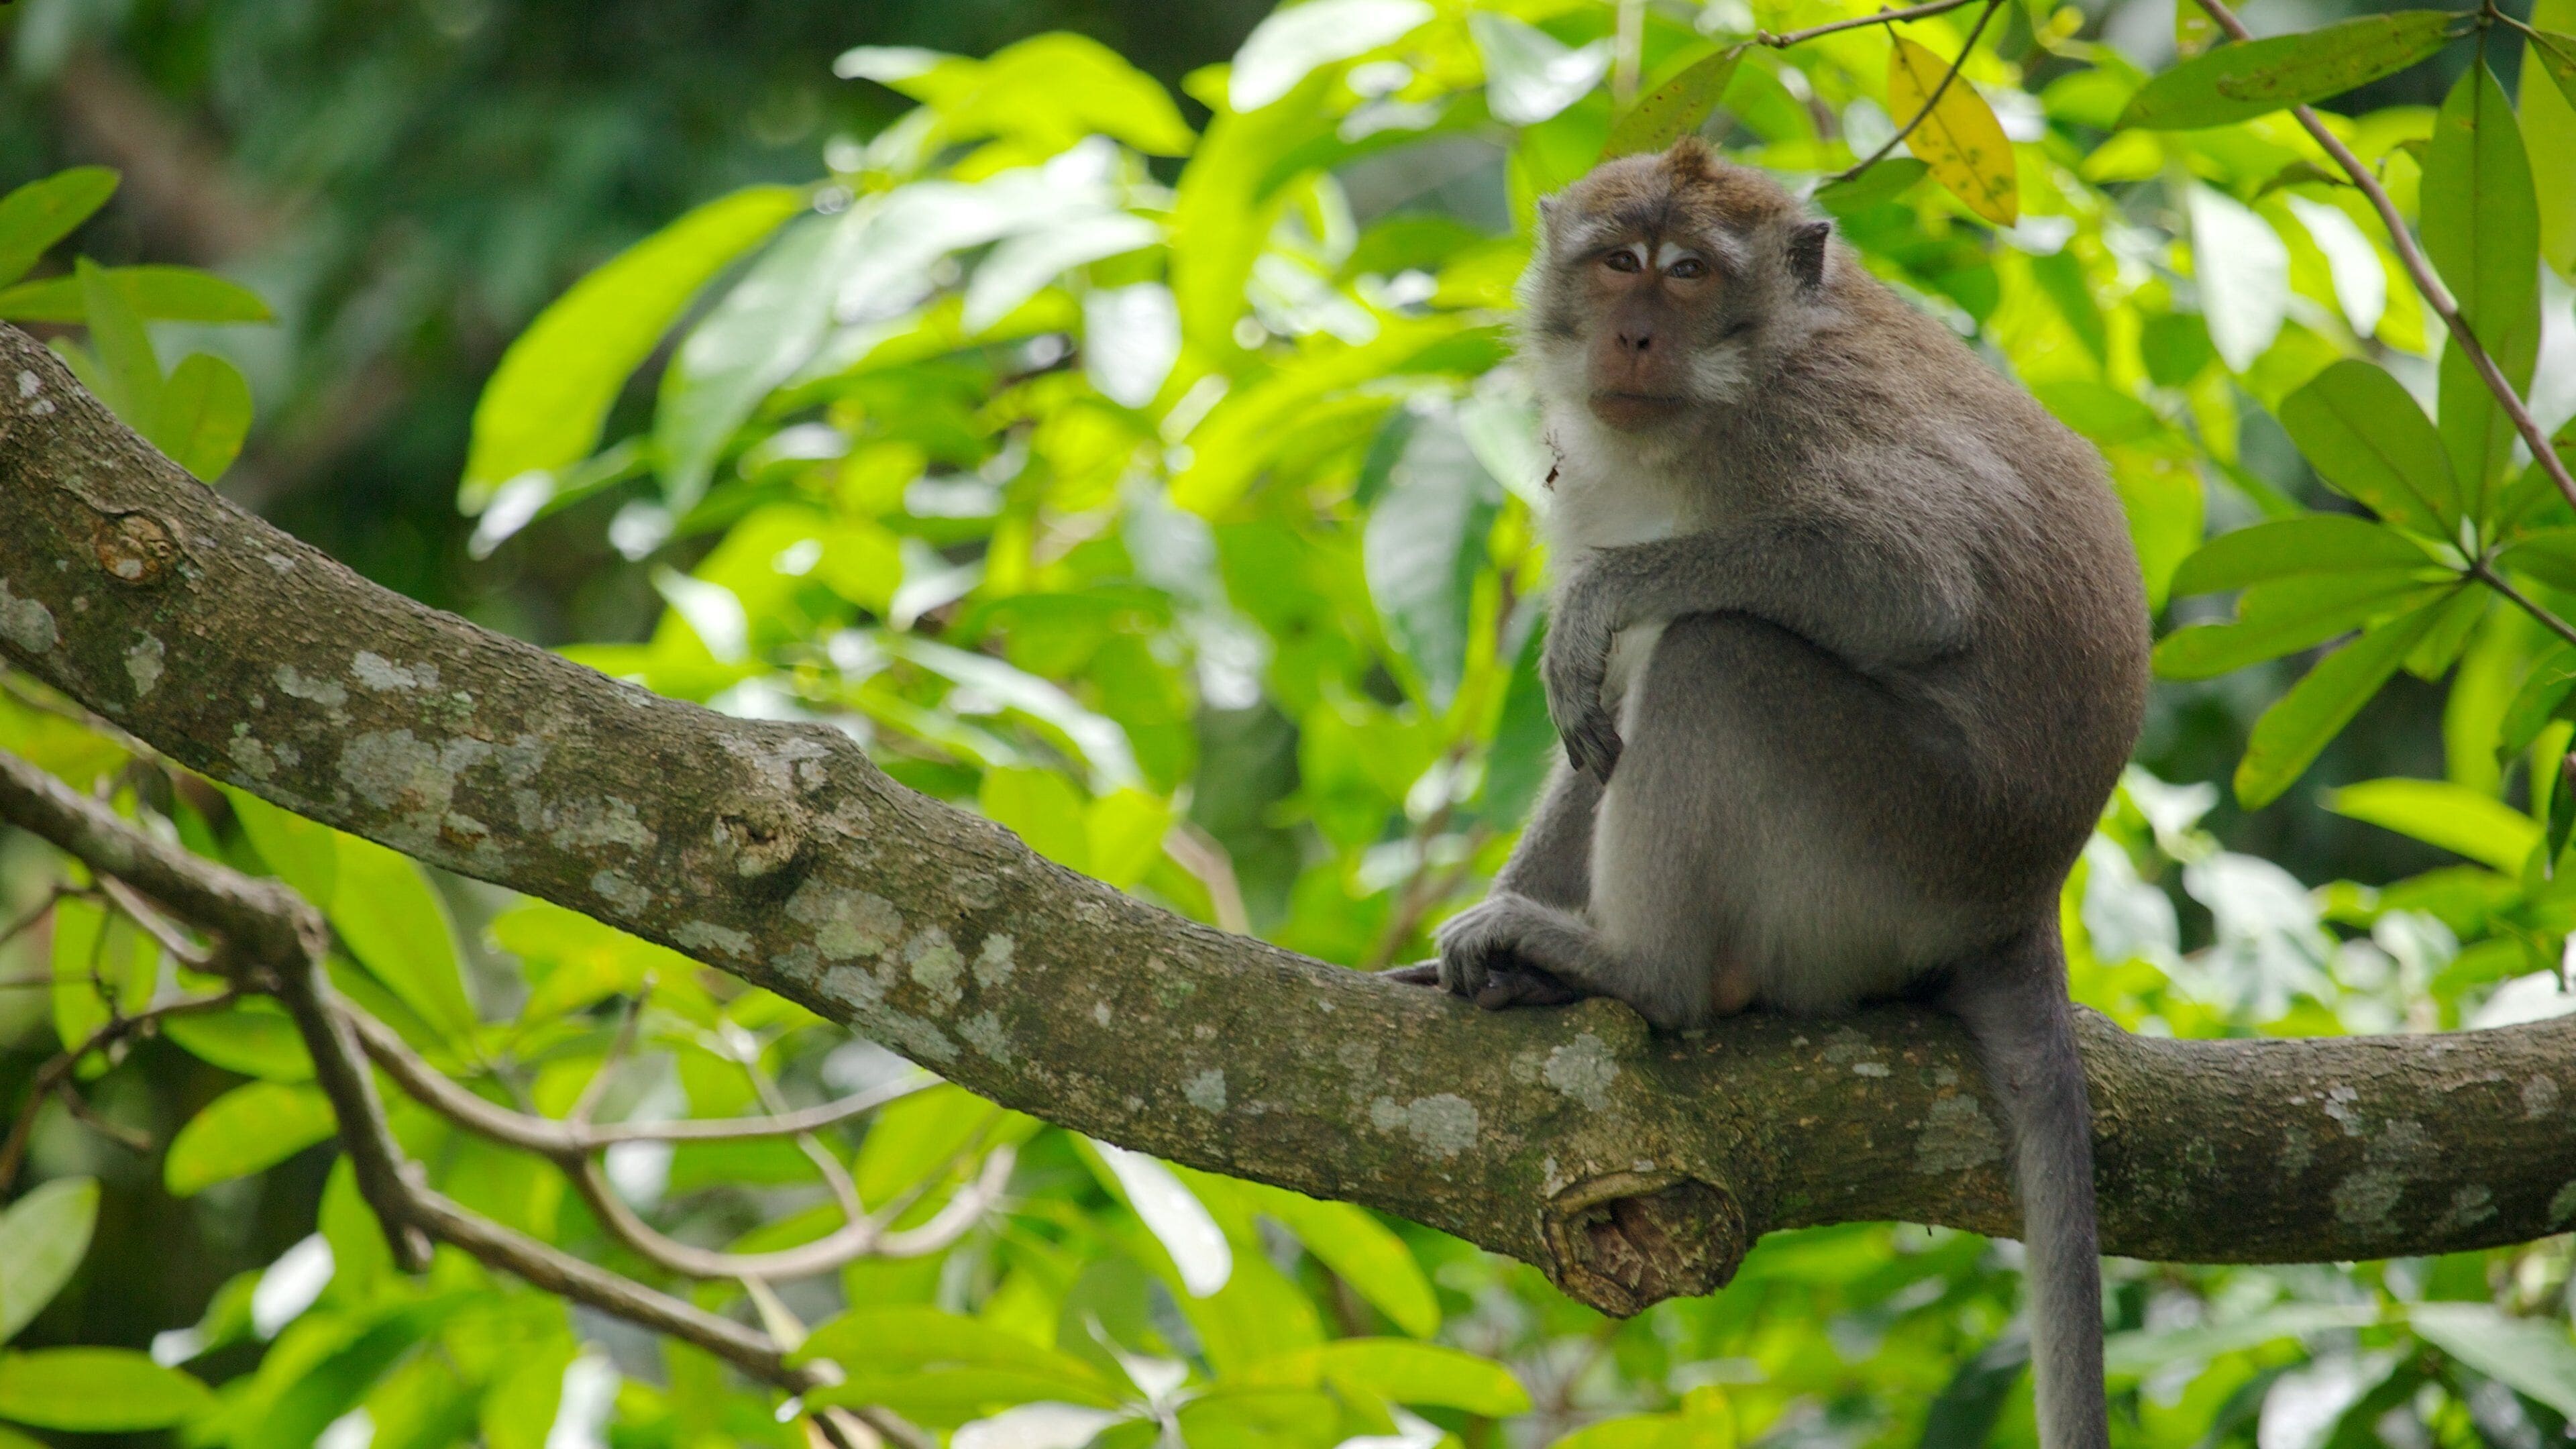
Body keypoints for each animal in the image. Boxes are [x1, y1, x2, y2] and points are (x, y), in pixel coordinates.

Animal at [1385, 139, 2148, 1449]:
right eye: (1618, 262)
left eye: (1688, 271)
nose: (1634, 336)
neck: (1730, 389)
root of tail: (2023, 903)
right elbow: (1595, 725)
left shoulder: (1805, 431)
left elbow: (1908, 585)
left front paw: (1601, 598)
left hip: (1894, 851)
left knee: (1718, 650)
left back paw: (1640, 970)